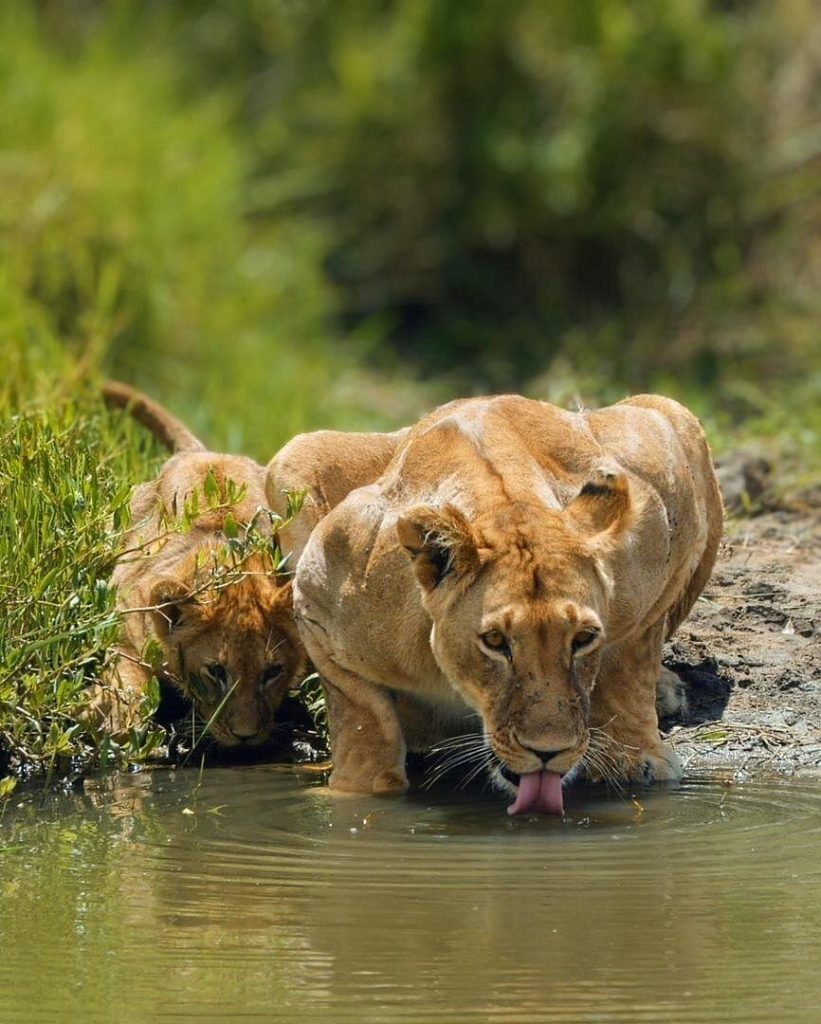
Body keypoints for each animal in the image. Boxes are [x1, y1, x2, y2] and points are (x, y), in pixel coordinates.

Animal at [92, 381, 306, 749]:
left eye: (272, 672)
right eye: (216, 672)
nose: (245, 736)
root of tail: (203, 453)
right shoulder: (125, 616)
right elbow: (128, 672)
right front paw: (118, 722)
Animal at [286, 394, 723, 814]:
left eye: (583, 638)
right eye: (495, 642)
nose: (548, 751)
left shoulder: (655, 526)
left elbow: (629, 663)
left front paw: (633, 757)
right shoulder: (317, 595)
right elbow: (363, 713)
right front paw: (359, 787)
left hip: (670, 415)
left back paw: (665, 690)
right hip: (295, 455)